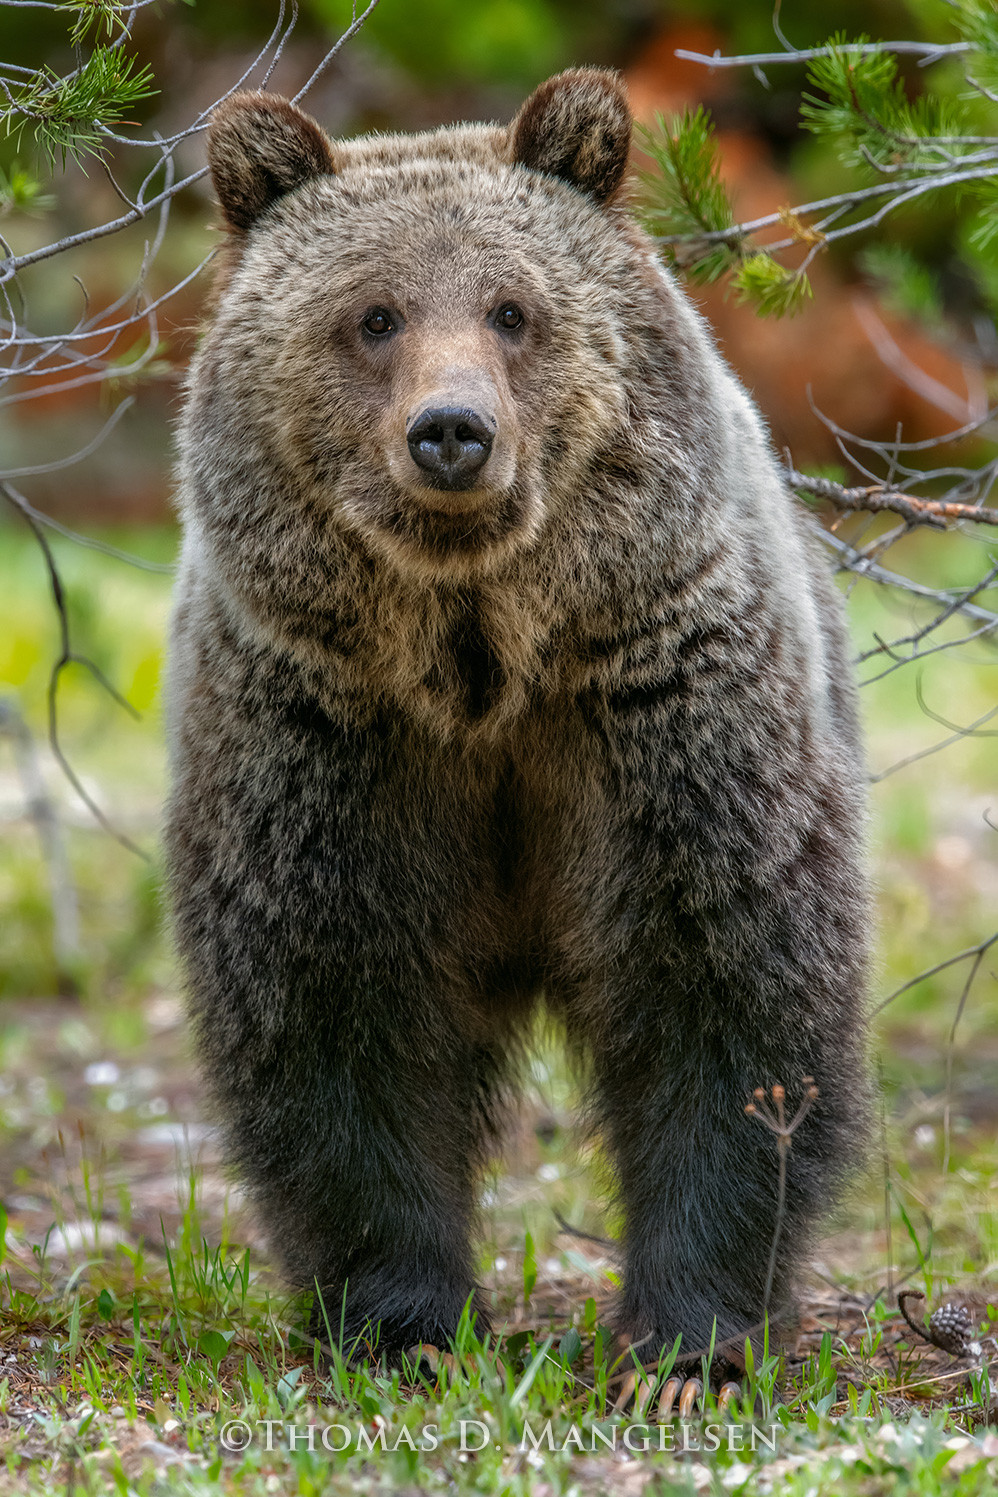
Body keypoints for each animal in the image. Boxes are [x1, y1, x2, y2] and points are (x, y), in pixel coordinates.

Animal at [164, 69, 870, 1382]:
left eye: (510, 309)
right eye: (374, 315)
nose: (451, 431)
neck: (480, 657)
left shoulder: (657, 709)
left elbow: (723, 990)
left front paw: (687, 1342)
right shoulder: (328, 734)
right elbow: (341, 1009)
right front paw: (405, 1324)